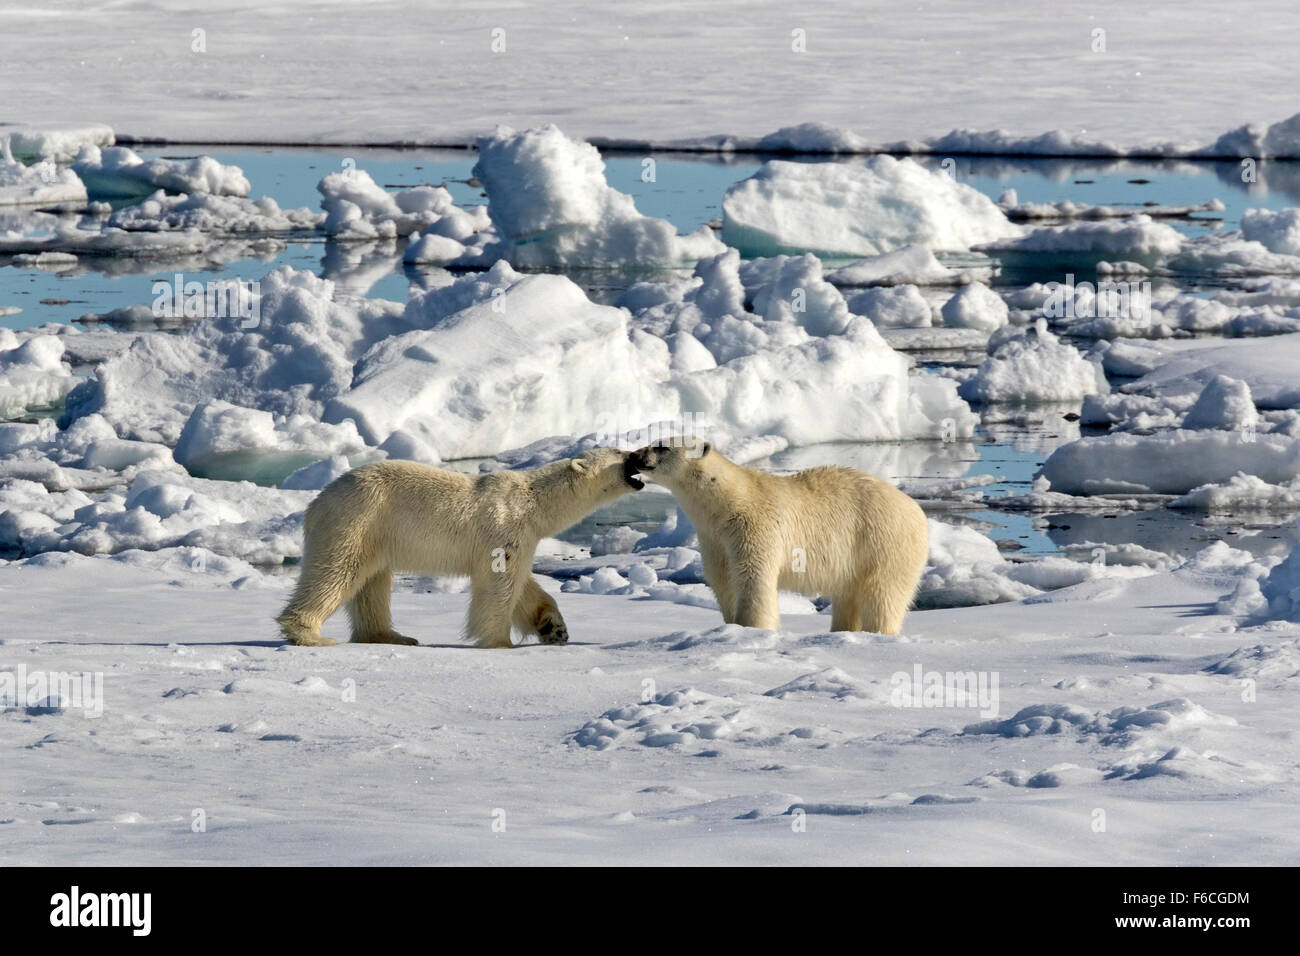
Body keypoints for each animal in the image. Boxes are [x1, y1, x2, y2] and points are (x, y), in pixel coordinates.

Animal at [276, 450, 642, 650]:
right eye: (620, 451)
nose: (641, 452)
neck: (533, 502)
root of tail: (316, 503)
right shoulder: (503, 527)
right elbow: (499, 585)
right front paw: (500, 642)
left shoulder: (524, 538)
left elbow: (524, 585)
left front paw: (554, 629)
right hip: (358, 521)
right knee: (337, 572)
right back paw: (309, 634)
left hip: (373, 534)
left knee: (373, 583)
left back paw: (392, 635)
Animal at [626, 442, 925, 634]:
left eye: (661, 446)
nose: (634, 455)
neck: (727, 502)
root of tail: (917, 510)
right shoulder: (714, 537)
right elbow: (723, 579)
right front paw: (730, 625)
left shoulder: (754, 527)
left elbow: (753, 577)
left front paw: (752, 628)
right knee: (848, 597)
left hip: (883, 541)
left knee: (882, 594)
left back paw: (877, 633)